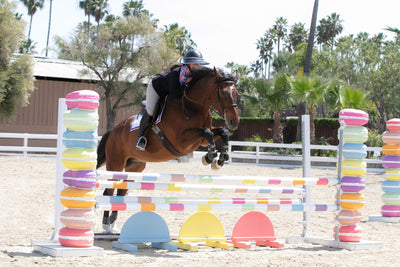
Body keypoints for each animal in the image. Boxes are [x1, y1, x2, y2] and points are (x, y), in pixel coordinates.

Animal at [96, 67, 241, 232]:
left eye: (236, 93)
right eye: (222, 92)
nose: (234, 121)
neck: (194, 107)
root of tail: (113, 131)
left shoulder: (201, 140)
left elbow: (222, 132)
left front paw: (220, 159)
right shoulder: (182, 141)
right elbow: (208, 133)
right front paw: (209, 158)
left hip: (135, 166)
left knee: (121, 190)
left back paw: (112, 224)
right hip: (115, 164)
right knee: (109, 190)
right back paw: (106, 224)